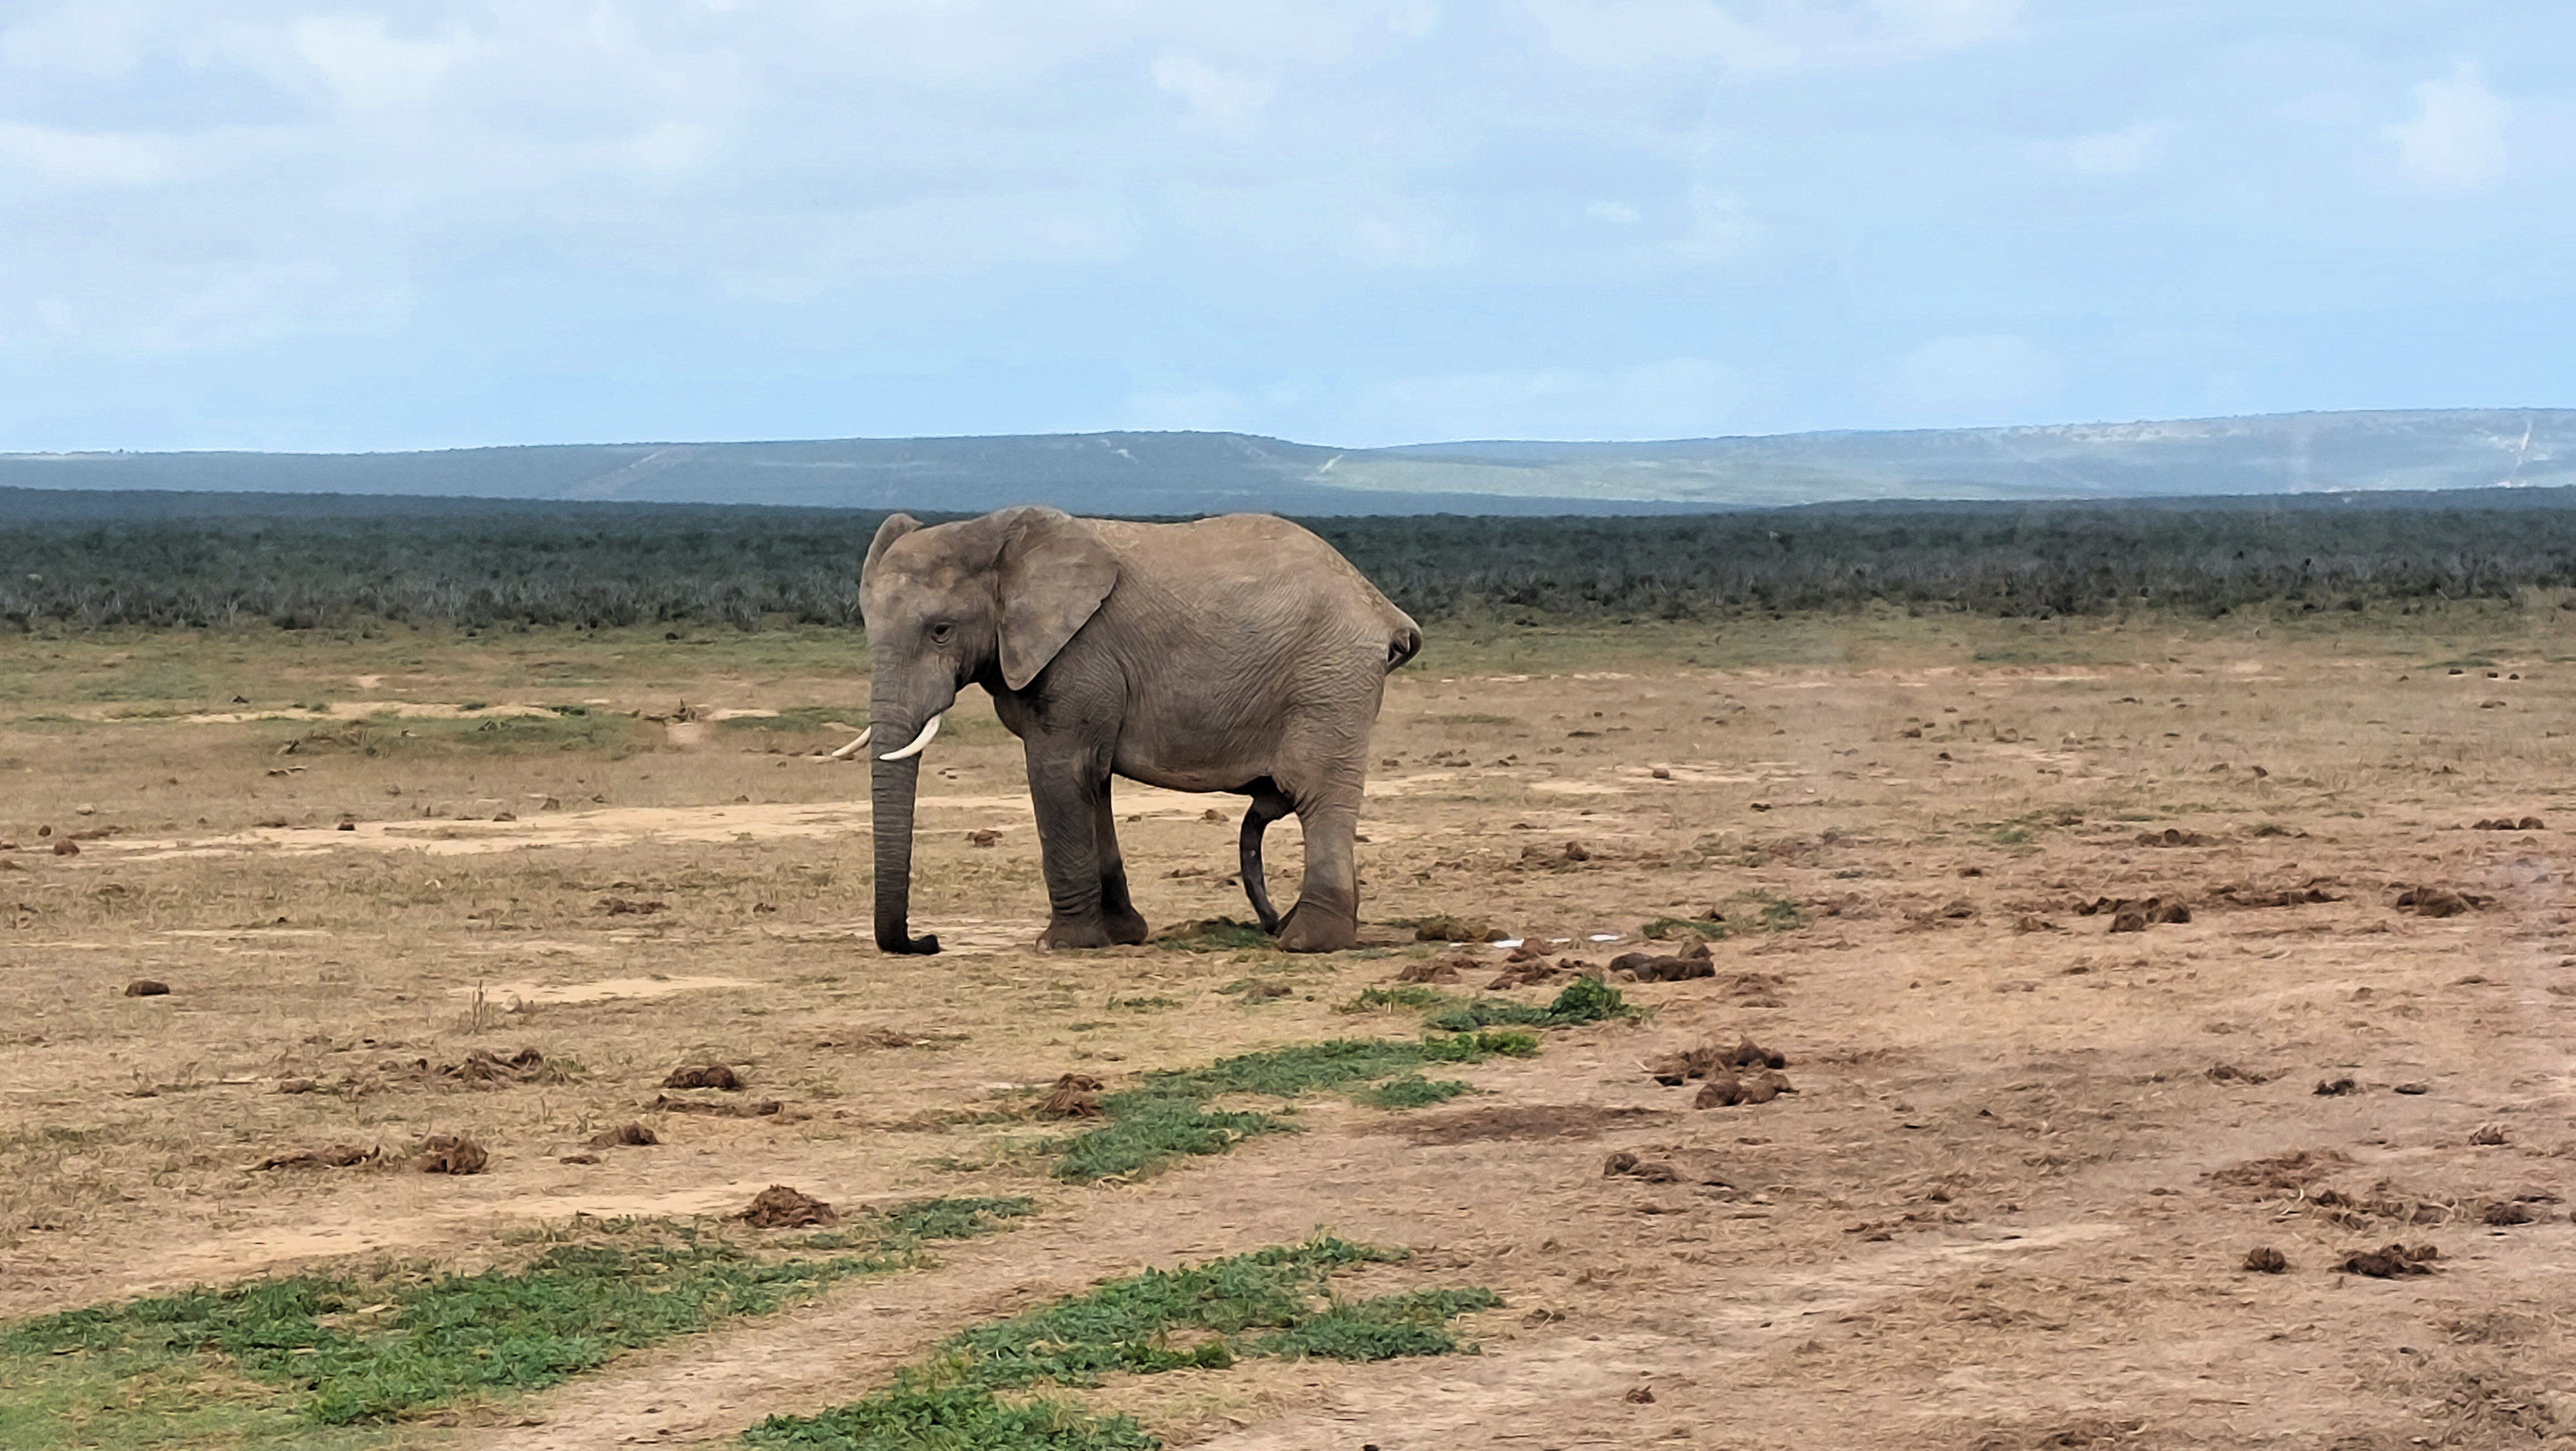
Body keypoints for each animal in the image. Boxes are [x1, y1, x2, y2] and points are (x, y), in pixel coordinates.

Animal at [857, 505, 1421, 955]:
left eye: (941, 631)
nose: (928, 941)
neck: (990, 532)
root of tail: (1383, 609)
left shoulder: (1081, 654)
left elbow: (1059, 772)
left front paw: (1061, 945)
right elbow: (1094, 780)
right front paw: (1123, 935)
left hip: (1330, 679)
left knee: (1317, 796)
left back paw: (1305, 942)